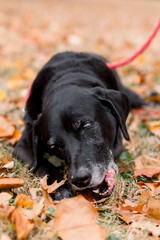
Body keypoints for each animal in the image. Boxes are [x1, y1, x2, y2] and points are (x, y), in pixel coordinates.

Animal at [13, 51, 144, 200]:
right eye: (54, 146)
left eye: (85, 124)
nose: (80, 179)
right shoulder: (22, 147)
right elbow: (41, 163)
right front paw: (60, 187)